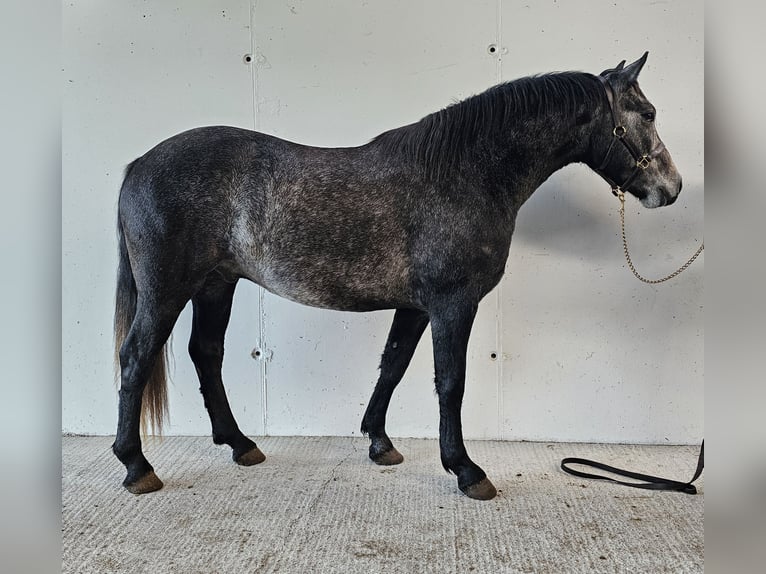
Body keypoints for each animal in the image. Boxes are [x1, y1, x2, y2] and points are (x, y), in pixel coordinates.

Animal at [113, 52, 682, 500]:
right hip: (167, 291)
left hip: (216, 284)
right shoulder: (454, 304)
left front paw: (380, 443)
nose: (672, 188)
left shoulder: (415, 306)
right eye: (649, 113)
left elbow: (394, 365)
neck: (465, 173)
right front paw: (466, 470)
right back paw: (137, 466)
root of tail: (140, 164)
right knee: (136, 357)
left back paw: (240, 444)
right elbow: (450, 381)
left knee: (206, 354)